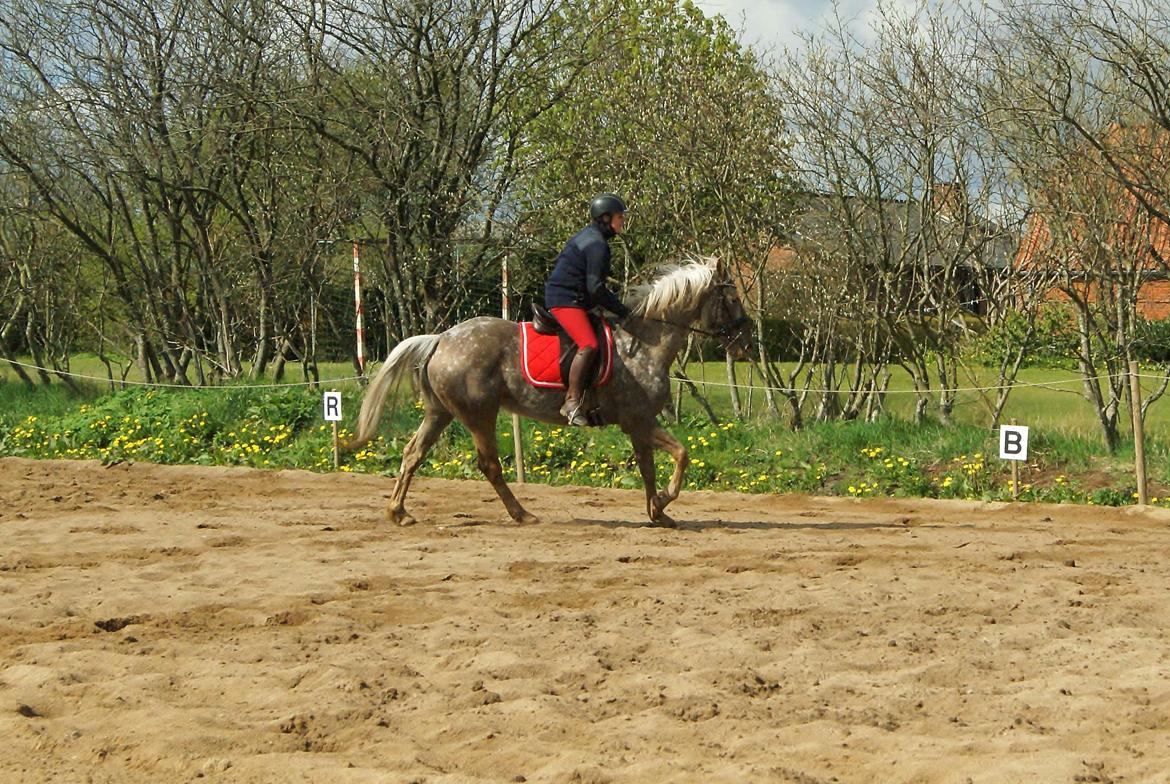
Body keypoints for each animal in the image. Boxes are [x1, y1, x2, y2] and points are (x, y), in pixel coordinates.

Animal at [346, 257, 753, 528]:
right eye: (732, 299)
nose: (746, 344)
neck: (643, 344)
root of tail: (442, 338)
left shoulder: (639, 425)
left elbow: (649, 467)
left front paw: (658, 511)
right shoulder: (638, 420)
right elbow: (681, 454)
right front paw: (665, 501)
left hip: (440, 413)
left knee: (413, 454)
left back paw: (398, 512)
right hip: (479, 414)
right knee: (488, 465)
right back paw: (522, 514)